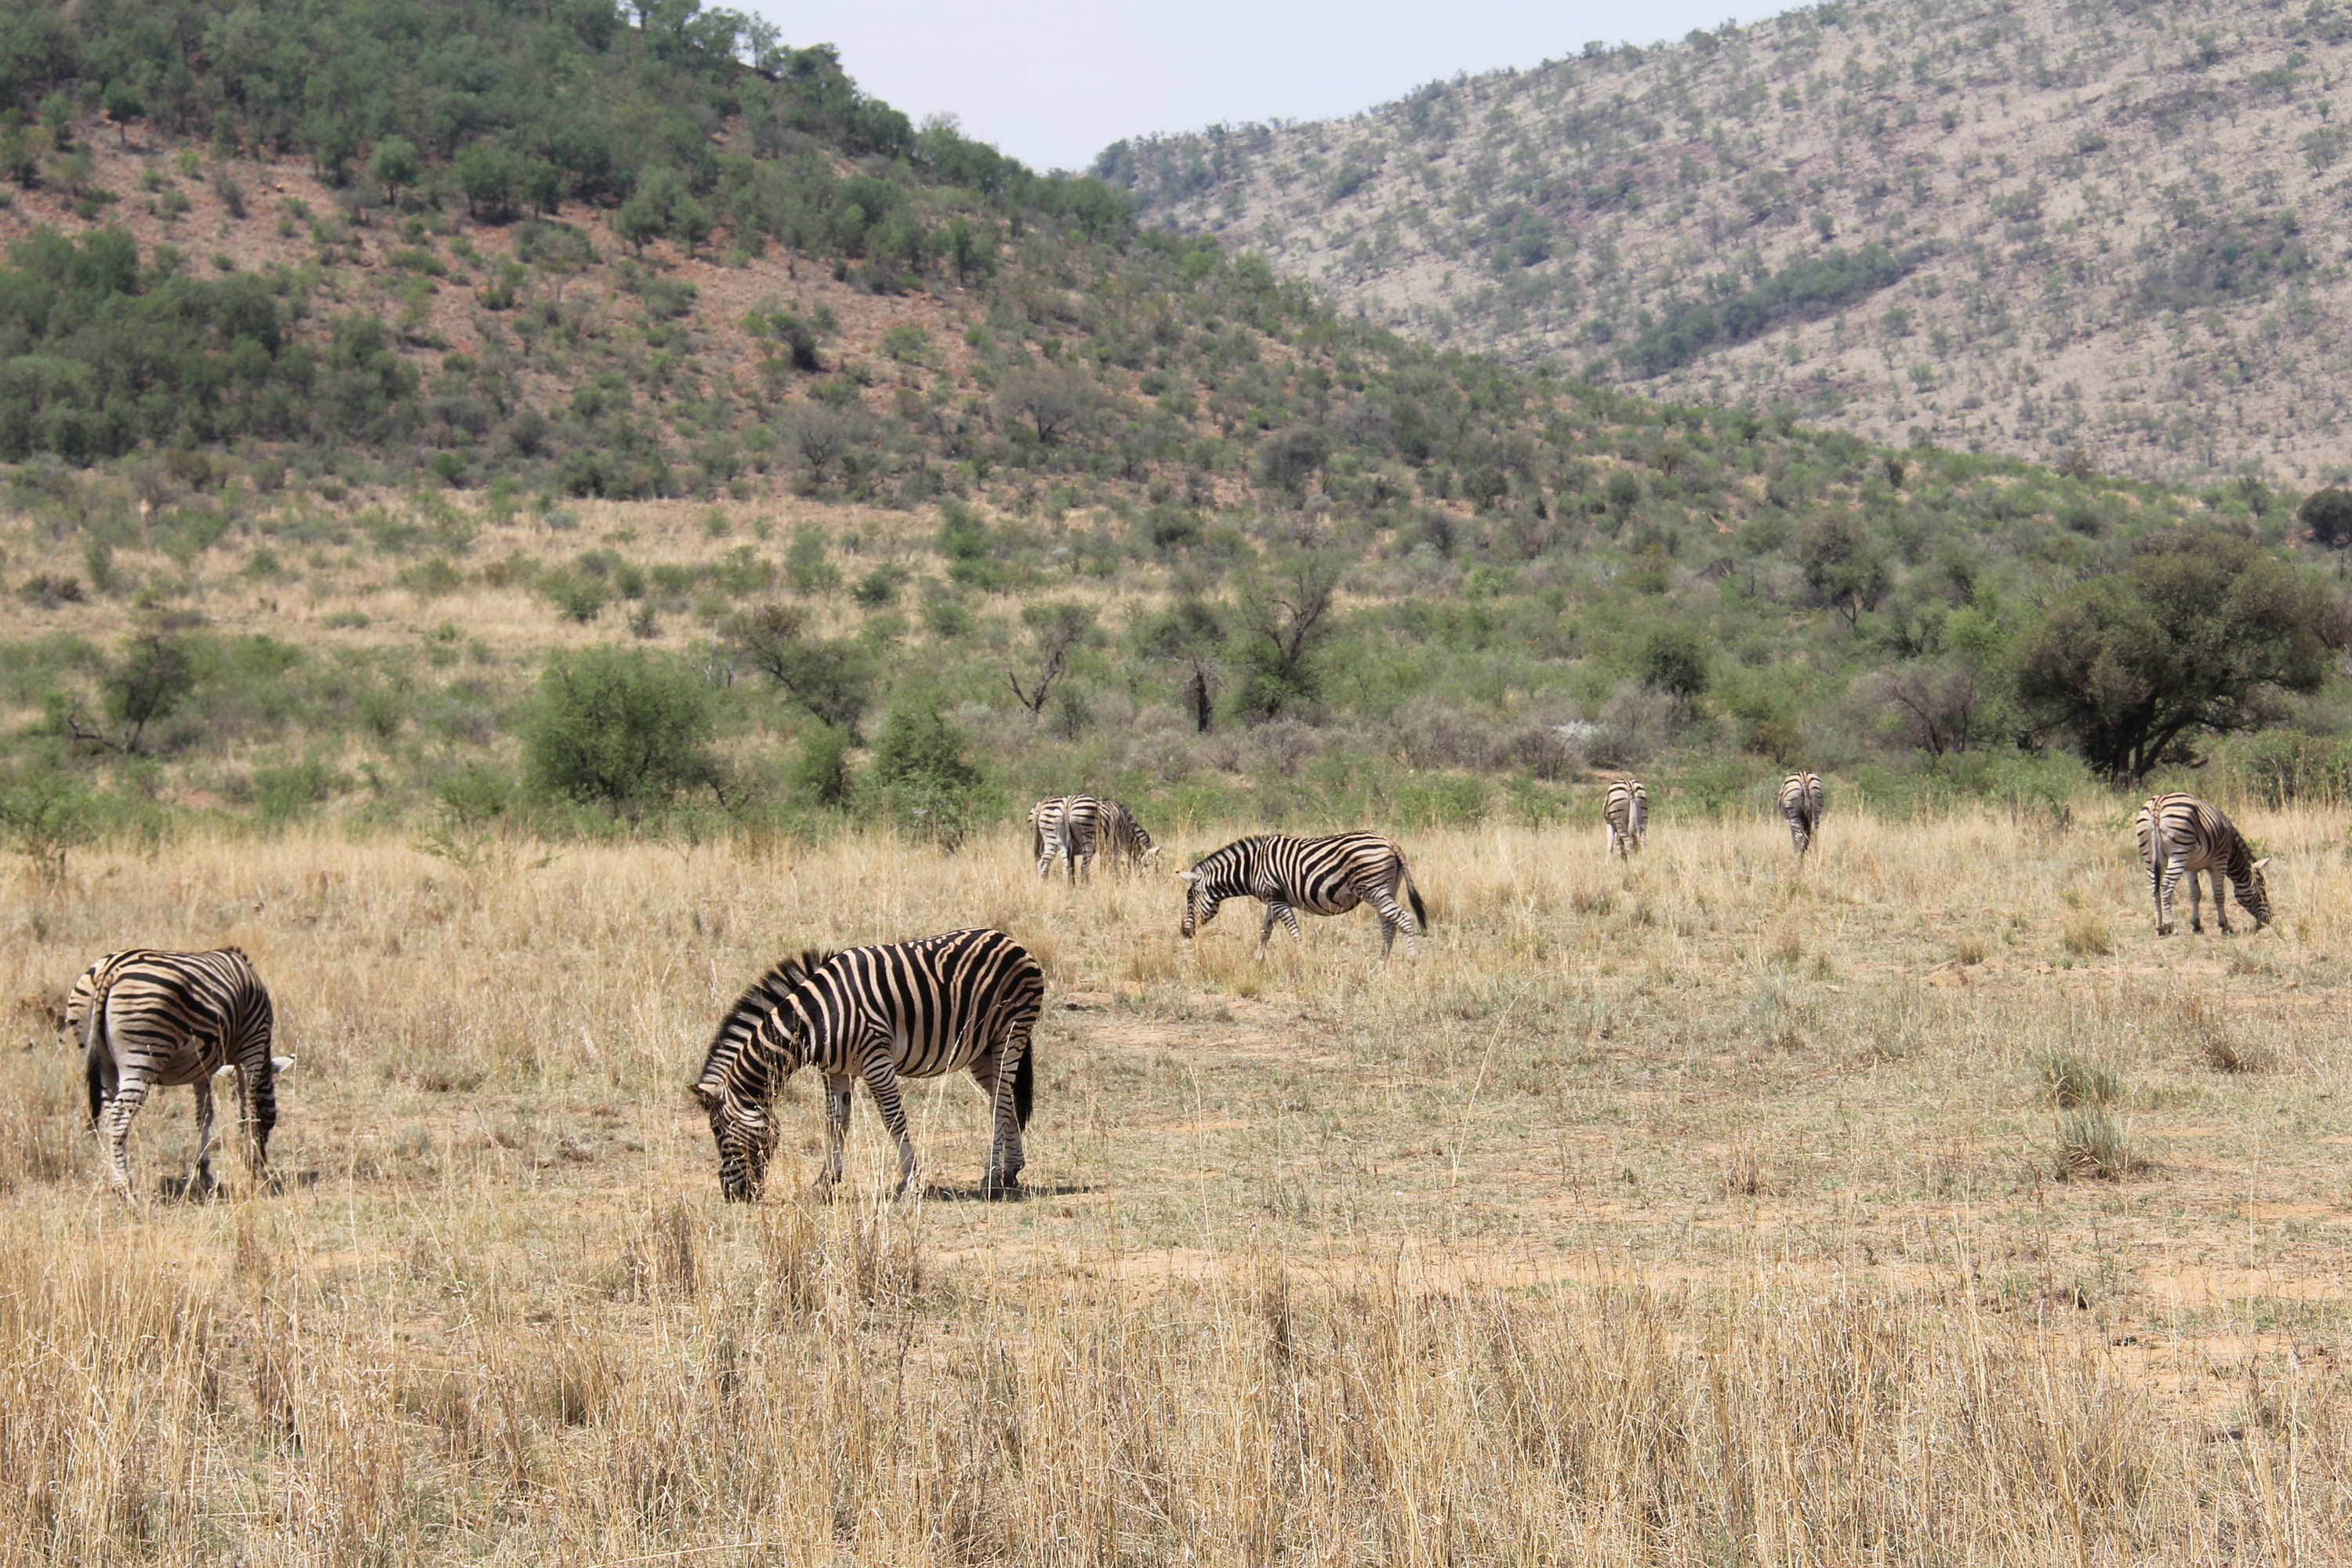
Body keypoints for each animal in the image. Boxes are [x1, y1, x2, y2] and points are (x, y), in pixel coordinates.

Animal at [66, 948, 287, 1201]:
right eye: (272, 1120)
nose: (261, 1167)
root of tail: (109, 970)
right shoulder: (253, 1045)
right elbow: (248, 1111)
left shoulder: (203, 1066)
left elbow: (205, 1115)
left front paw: (204, 1171)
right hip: (142, 1056)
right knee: (119, 1118)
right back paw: (125, 1188)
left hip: (104, 1062)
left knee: (107, 1115)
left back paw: (113, 1178)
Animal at [691, 928, 1045, 1202]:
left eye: (720, 1132)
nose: (733, 1196)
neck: (815, 1019)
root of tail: (1008, 939)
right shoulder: (836, 1071)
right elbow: (835, 1122)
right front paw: (825, 1183)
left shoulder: (876, 1060)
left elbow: (893, 1120)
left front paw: (909, 1183)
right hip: (982, 1049)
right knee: (1004, 1098)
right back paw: (1010, 1171)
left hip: (1010, 1032)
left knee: (1000, 1103)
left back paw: (991, 1178)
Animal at [1029, 795, 1161, 880]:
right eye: (1148, 864)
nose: (1156, 881)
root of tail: (1068, 804)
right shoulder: (1117, 845)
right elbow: (1113, 865)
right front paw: (1114, 881)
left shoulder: (1104, 847)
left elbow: (1104, 865)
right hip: (1086, 838)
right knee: (1083, 867)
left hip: (1053, 838)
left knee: (1052, 864)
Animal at [1177, 833, 1428, 958]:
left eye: (1189, 899)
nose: (1184, 932)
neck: (1251, 868)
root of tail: (1389, 841)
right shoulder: (1273, 900)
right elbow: (1264, 932)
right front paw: (1257, 963)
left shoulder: (1277, 898)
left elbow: (1294, 933)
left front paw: (1302, 961)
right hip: (1385, 889)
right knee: (1389, 926)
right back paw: (1380, 966)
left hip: (1374, 890)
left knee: (1404, 920)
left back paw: (1412, 962)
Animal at [2135, 793, 2272, 936]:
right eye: (2262, 888)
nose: (2270, 918)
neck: (2232, 849)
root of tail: (2158, 802)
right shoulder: (2220, 862)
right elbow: (2219, 894)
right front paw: (2224, 925)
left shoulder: (2191, 867)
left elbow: (2195, 894)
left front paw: (2197, 925)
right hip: (2178, 853)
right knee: (2166, 886)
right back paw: (2171, 926)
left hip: (2149, 855)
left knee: (2154, 887)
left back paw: (2160, 927)